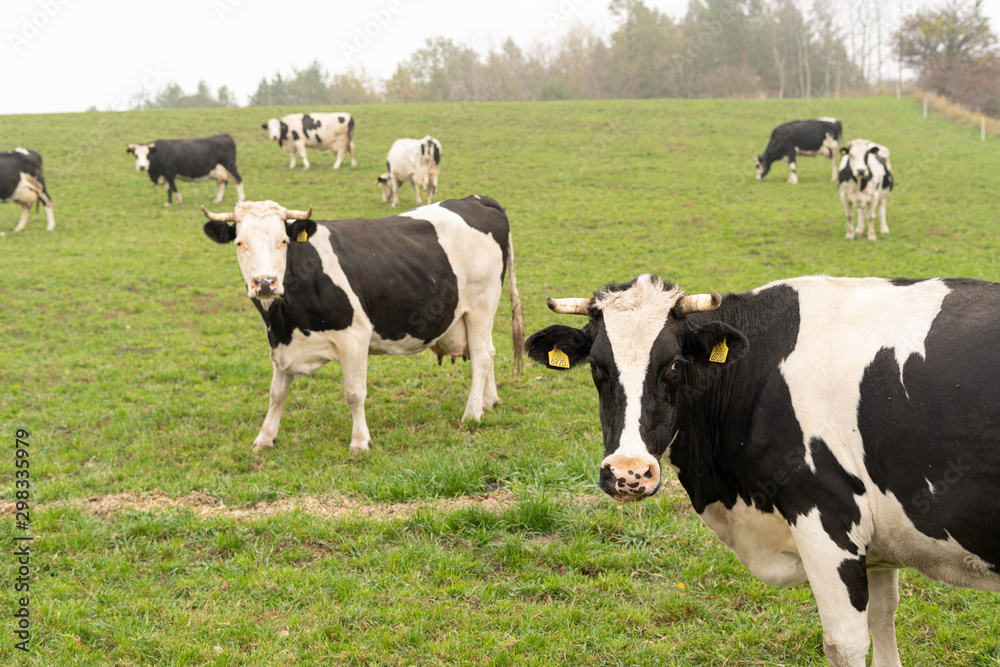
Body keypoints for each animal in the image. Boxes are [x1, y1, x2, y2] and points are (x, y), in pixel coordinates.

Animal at [201, 196, 524, 452]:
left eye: (283, 241)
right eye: (240, 242)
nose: (265, 282)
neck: (284, 319)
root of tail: (475, 200)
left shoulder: (354, 336)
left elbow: (354, 393)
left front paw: (359, 441)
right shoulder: (281, 344)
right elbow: (276, 394)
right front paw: (264, 438)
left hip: (482, 303)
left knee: (481, 357)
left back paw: (472, 413)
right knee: (489, 351)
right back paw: (489, 401)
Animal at [524, 272, 1000, 667]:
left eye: (674, 364)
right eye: (597, 368)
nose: (628, 472)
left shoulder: (827, 520)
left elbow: (844, 643)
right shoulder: (880, 542)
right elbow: (883, 624)